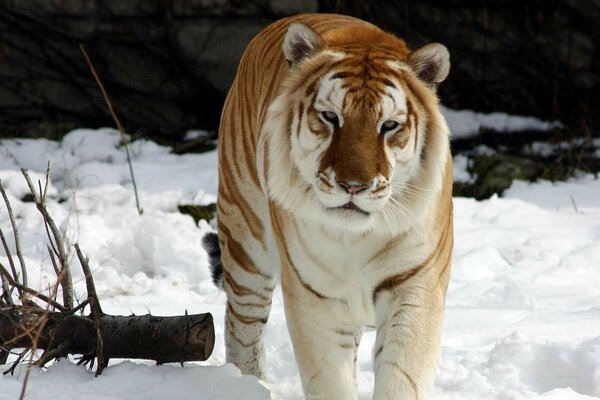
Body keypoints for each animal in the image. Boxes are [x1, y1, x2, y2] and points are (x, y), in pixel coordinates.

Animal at [204, 12, 452, 400]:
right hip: (245, 240)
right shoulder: (314, 294)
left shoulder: (415, 285)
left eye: (389, 125)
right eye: (331, 117)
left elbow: (401, 374)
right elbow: (330, 377)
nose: (353, 186)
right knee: (240, 325)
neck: (357, 237)